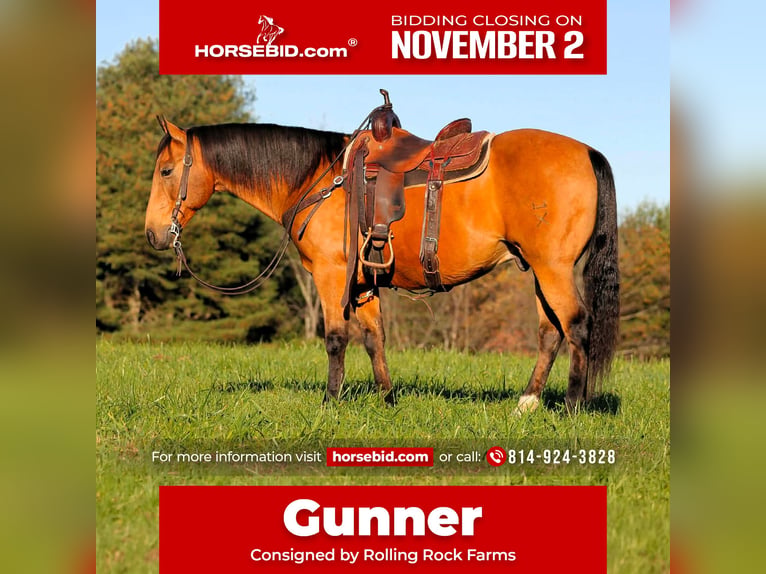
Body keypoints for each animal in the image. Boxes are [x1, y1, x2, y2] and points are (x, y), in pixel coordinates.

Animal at [144, 111, 619, 413]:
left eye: (166, 171)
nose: (153, 233)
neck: (320, 178)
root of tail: (588, 152)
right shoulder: (364, 282)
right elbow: (375, 338)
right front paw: (387, 399)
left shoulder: (332, 275)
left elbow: (336, 338)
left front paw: (329, 403)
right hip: (538, 270)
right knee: (550, 332)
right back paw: (527, 402)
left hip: (553, 268)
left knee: (577, 326)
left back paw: (572, 406)